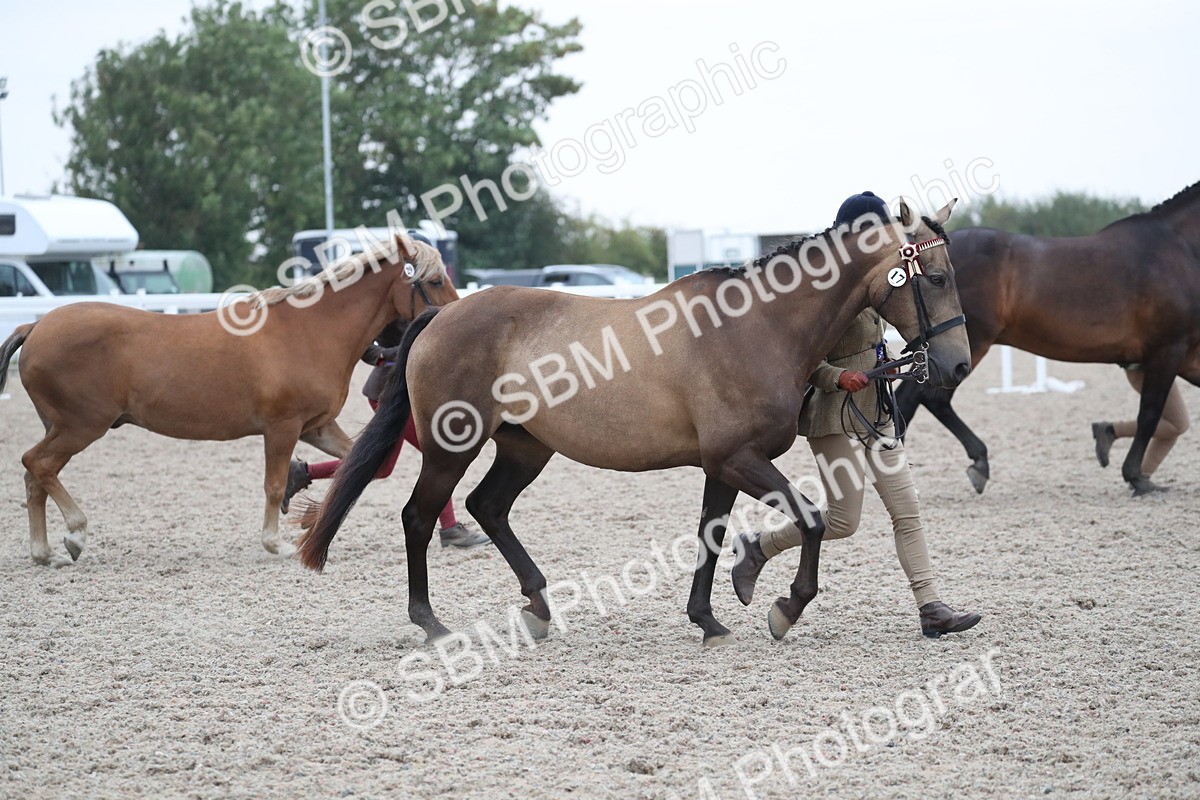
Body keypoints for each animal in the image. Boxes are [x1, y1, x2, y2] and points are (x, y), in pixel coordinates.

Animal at [0, 233, 458, 567]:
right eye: (435, 280)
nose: (453, 320)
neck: (311, 331)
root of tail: (35, 325)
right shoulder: (282, 428)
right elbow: (274, 485)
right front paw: (276, 544)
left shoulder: (316, 427)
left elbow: (360, 467)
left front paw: (312, 518)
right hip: (80, 426)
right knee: (37, 464)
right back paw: (74, 535)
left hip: (61, 427)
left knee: (34, 477)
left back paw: (45, 553)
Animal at [295, 201, 973, 647]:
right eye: (937, 276)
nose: (957, 363)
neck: (755, 327)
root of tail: (442, 316)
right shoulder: (738, 458)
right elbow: (806, 518)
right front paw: (784, 606)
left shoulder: (722, 465)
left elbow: (710, 534)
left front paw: (709, 618)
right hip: (449, 446)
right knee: (418, 516)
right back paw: (431, 623)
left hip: (525, 448)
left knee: (489, 507)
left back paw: (538, 605)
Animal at [895, 182, 1200, 496]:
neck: (1180, 248)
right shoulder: (1167, 350)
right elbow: (1149, 414)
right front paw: (1136, 476)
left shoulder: (1188, 355)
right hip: (965, 348)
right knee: (923, 398)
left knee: (923, 400)